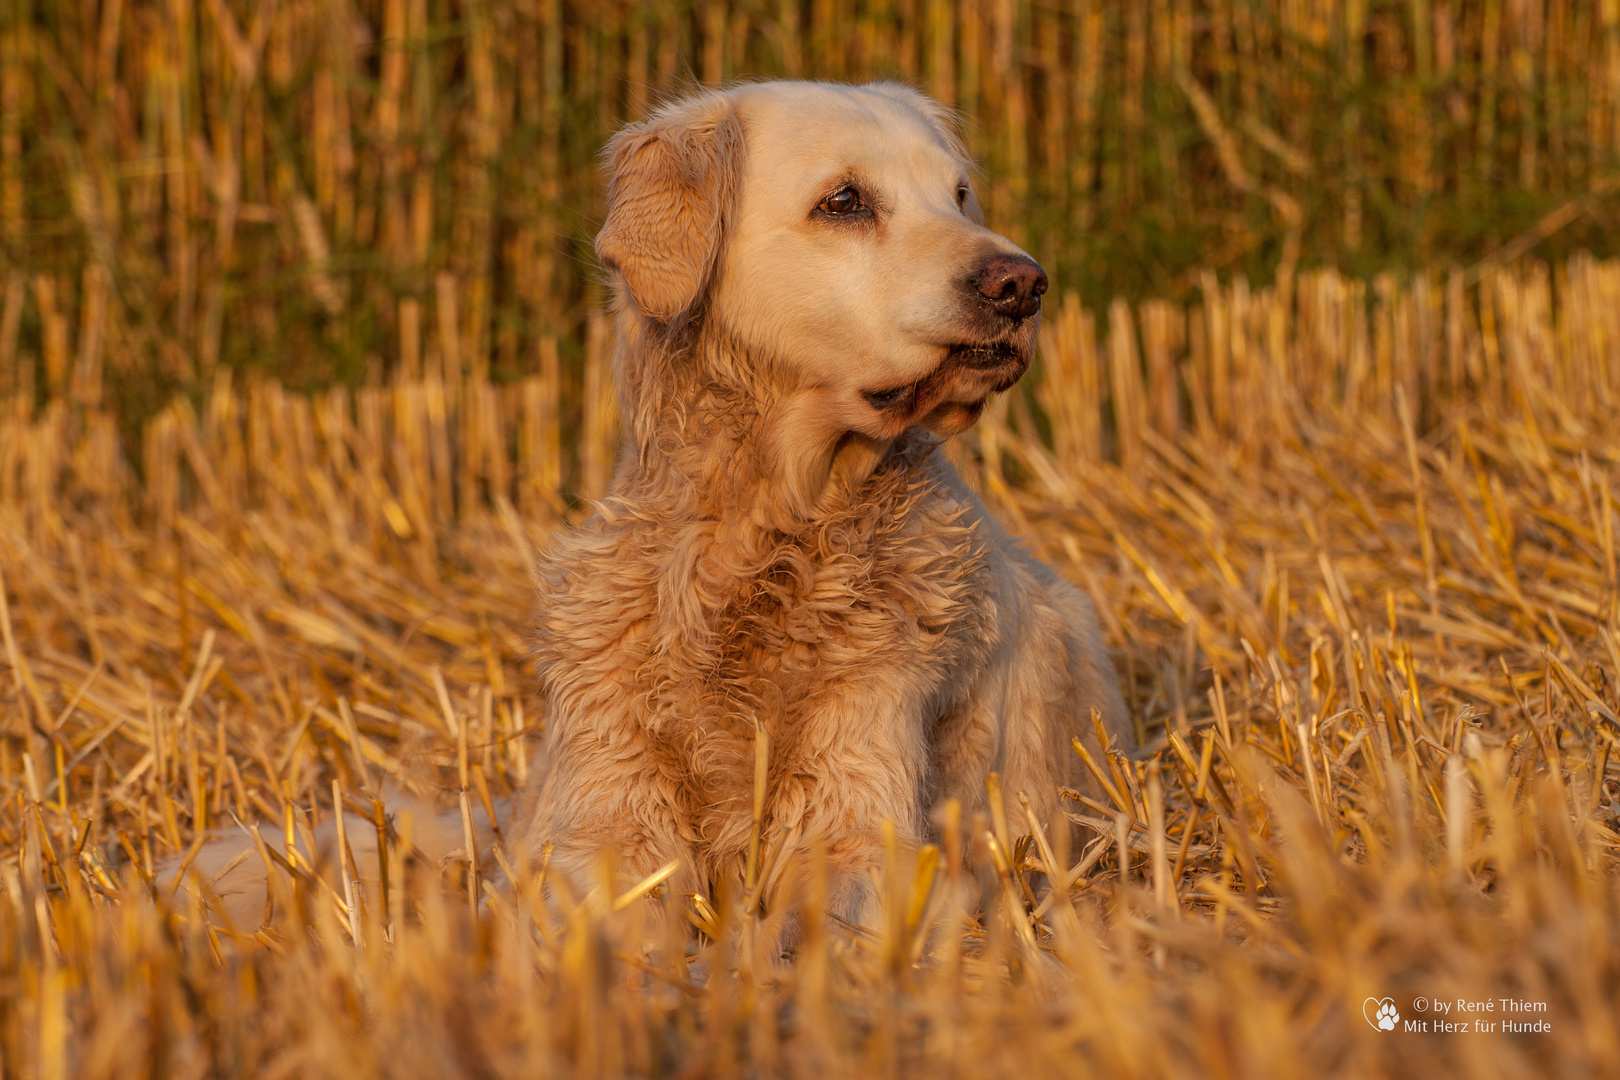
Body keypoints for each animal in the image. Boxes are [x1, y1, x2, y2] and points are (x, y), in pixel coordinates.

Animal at [164, 80, 1127, 932]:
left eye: (959, 194)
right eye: (845, 201)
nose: (1022, 283)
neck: (764, 530)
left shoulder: (861, 800)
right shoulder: (601, 809)